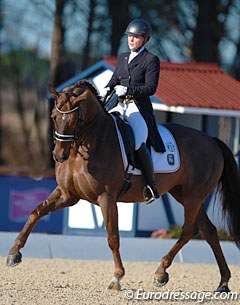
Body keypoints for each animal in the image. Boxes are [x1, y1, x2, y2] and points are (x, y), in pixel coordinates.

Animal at [7, 79, 240, 290]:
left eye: (74, 119)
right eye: (54, 117)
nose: (58, 155)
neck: (87, 145)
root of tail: (211, 141)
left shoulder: (106, 198)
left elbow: (113, 237)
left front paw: (117, 278)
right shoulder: (67, 195)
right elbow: (36, 212)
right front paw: (13, 254)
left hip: (193, 197)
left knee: (188, 231)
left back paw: (161, 272)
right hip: (185, 195)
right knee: (209, 231)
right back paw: (223, 282)